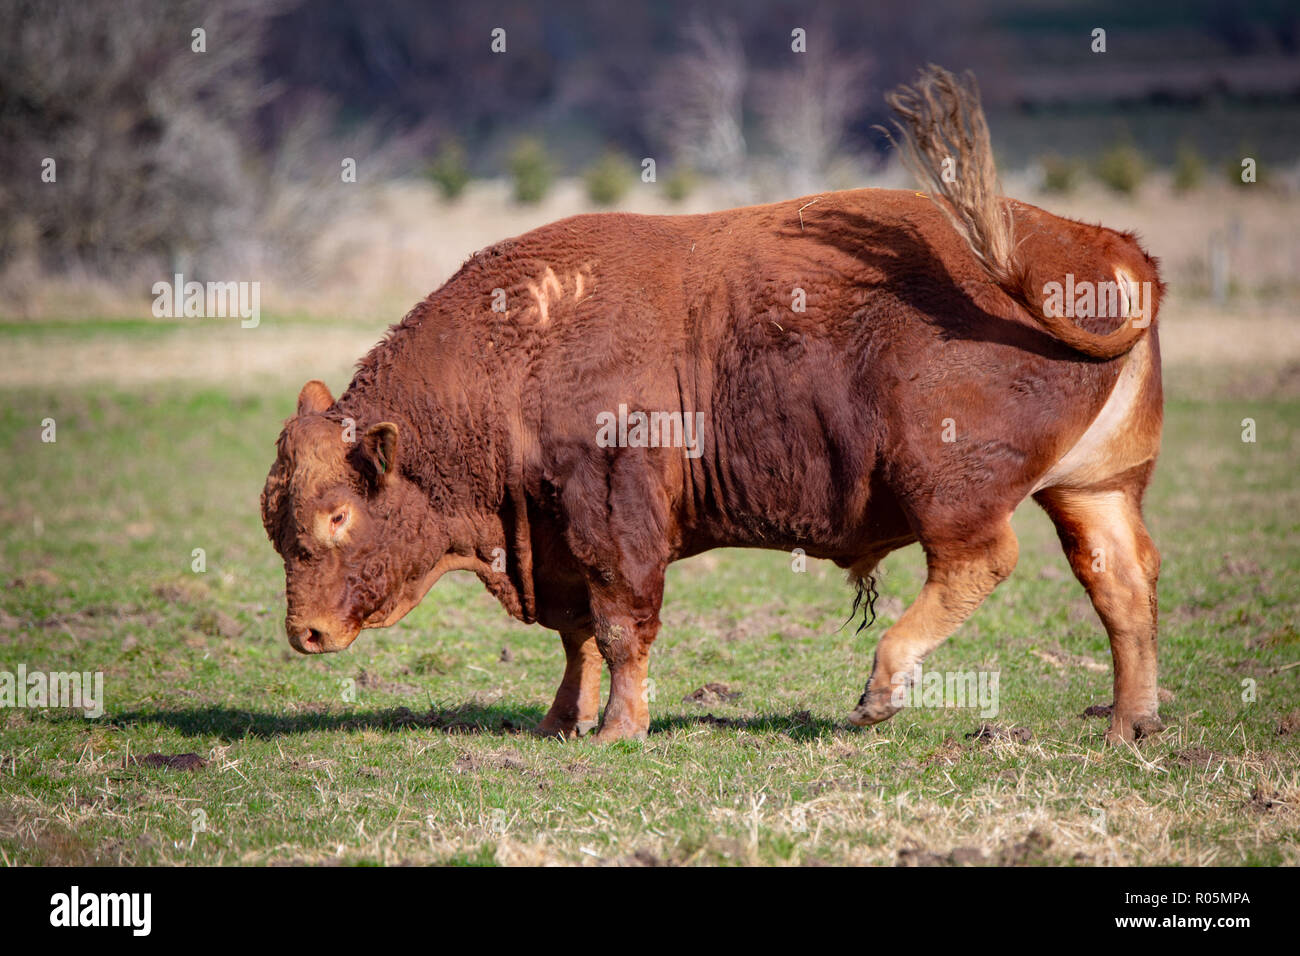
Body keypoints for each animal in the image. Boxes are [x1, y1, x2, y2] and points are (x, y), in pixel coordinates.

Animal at [261, 66, 1166, 745]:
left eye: (337, 513)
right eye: (277, 521)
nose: (305, 635)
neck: (516, 352)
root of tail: (1102, 247)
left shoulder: (610, 515)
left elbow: (619, 624)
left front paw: (620, 729)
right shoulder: (554, 536)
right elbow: (577, 634)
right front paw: (561, 721)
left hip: (949, 488)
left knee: (982, 561)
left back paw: (878, 690)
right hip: (1092, 488)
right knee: (1120, 579)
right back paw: (1130, 724)